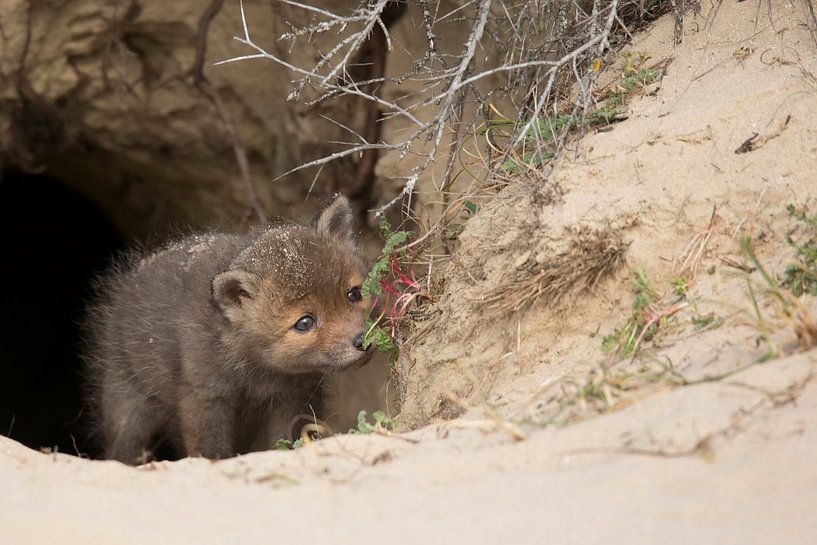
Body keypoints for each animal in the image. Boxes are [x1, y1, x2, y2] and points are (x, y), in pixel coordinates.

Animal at [84, 195, 371, 464]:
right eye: (305, 323)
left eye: (354, 294)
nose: (362, 340)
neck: (260, 373)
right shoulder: (204, 394)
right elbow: (209, 449)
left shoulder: (296, 395)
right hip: (129, 410)